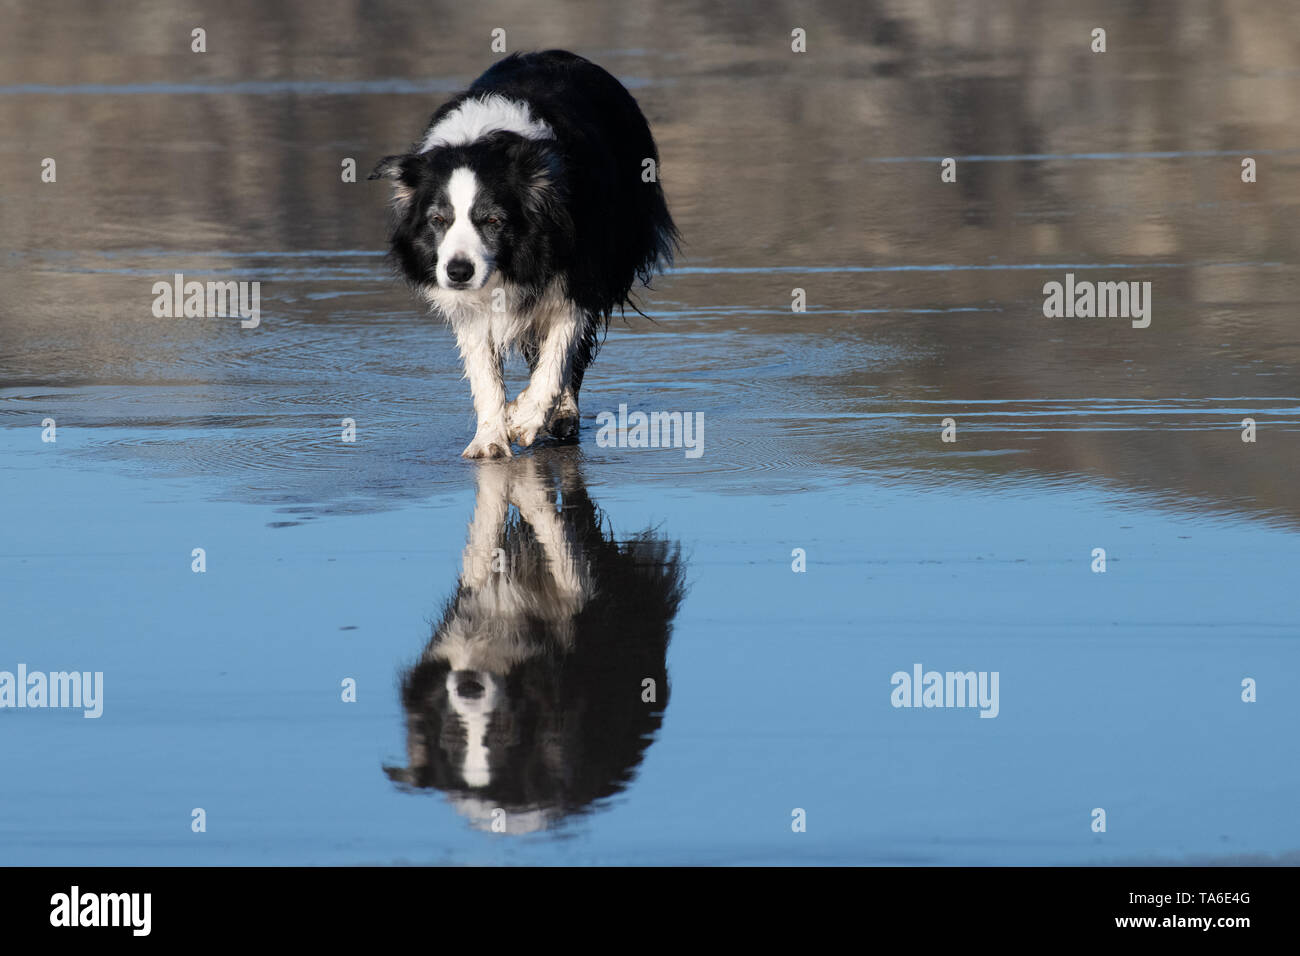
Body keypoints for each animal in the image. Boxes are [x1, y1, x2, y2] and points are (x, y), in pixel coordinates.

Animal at [371, 50, 676, 463]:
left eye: (493, 220)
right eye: (438, 220)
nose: (458, 271)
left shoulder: (575, 264)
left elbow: (559, 350)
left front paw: (524, 418)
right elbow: (483, 366)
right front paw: (489, 440)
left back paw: (560, 416)